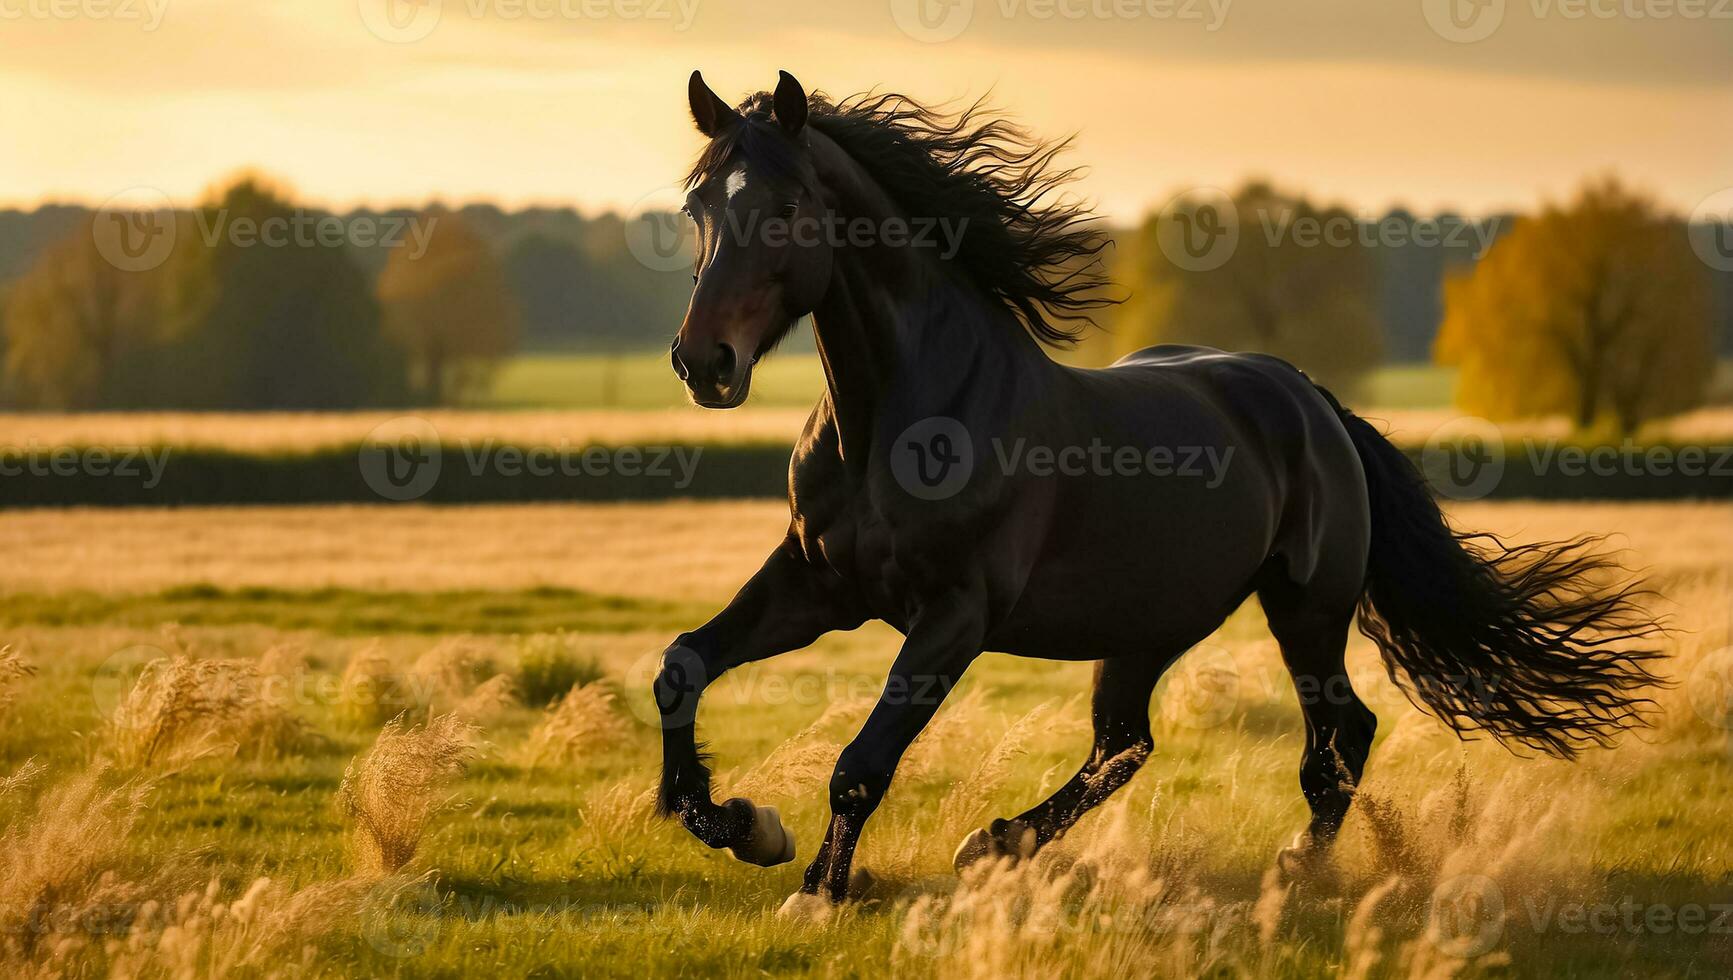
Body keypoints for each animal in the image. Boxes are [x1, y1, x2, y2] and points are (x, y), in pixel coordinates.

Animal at [651, 70, 1663, 915]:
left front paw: (815, 890)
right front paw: (739, 824)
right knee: (1127, 743)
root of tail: (1311, 400)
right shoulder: (817, 585)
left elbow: (861, 762)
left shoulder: (953, 616)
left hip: (1303, 611)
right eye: (697, 203)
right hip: (1144, 626)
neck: (898, 421)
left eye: (787, 206)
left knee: (1337, 736)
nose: (704, 363)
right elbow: (682, 666)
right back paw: (998, 843)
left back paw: (1294, 868)